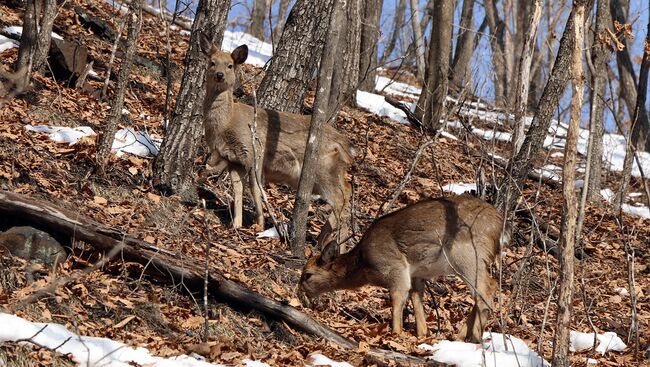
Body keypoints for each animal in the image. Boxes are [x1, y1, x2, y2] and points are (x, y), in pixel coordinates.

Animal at [202, 41, 354, 247]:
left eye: (230, 65)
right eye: (212, 62)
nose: (219, 75)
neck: (227, 123)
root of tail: (346, 145)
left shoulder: (255, 153)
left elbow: (255, 188)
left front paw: (258, 224)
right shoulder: (233, 159)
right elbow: (238, 189)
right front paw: (236, 223)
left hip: (325, 169)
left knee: (342, 198)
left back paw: (331, 242)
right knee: (346, 193)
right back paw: (329, 241)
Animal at [298, 197, 506, 344]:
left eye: (307, 275)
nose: (300, 294)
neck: (364, 266)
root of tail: (499, 226)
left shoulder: (395, 267)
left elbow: (397, 297)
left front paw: (395, 333)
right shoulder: (416, 274)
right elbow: (416, 298)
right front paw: (422, 334)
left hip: (467, 255)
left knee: (487, 288)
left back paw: (475, 337)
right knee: (484, 292)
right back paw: (459, 336)